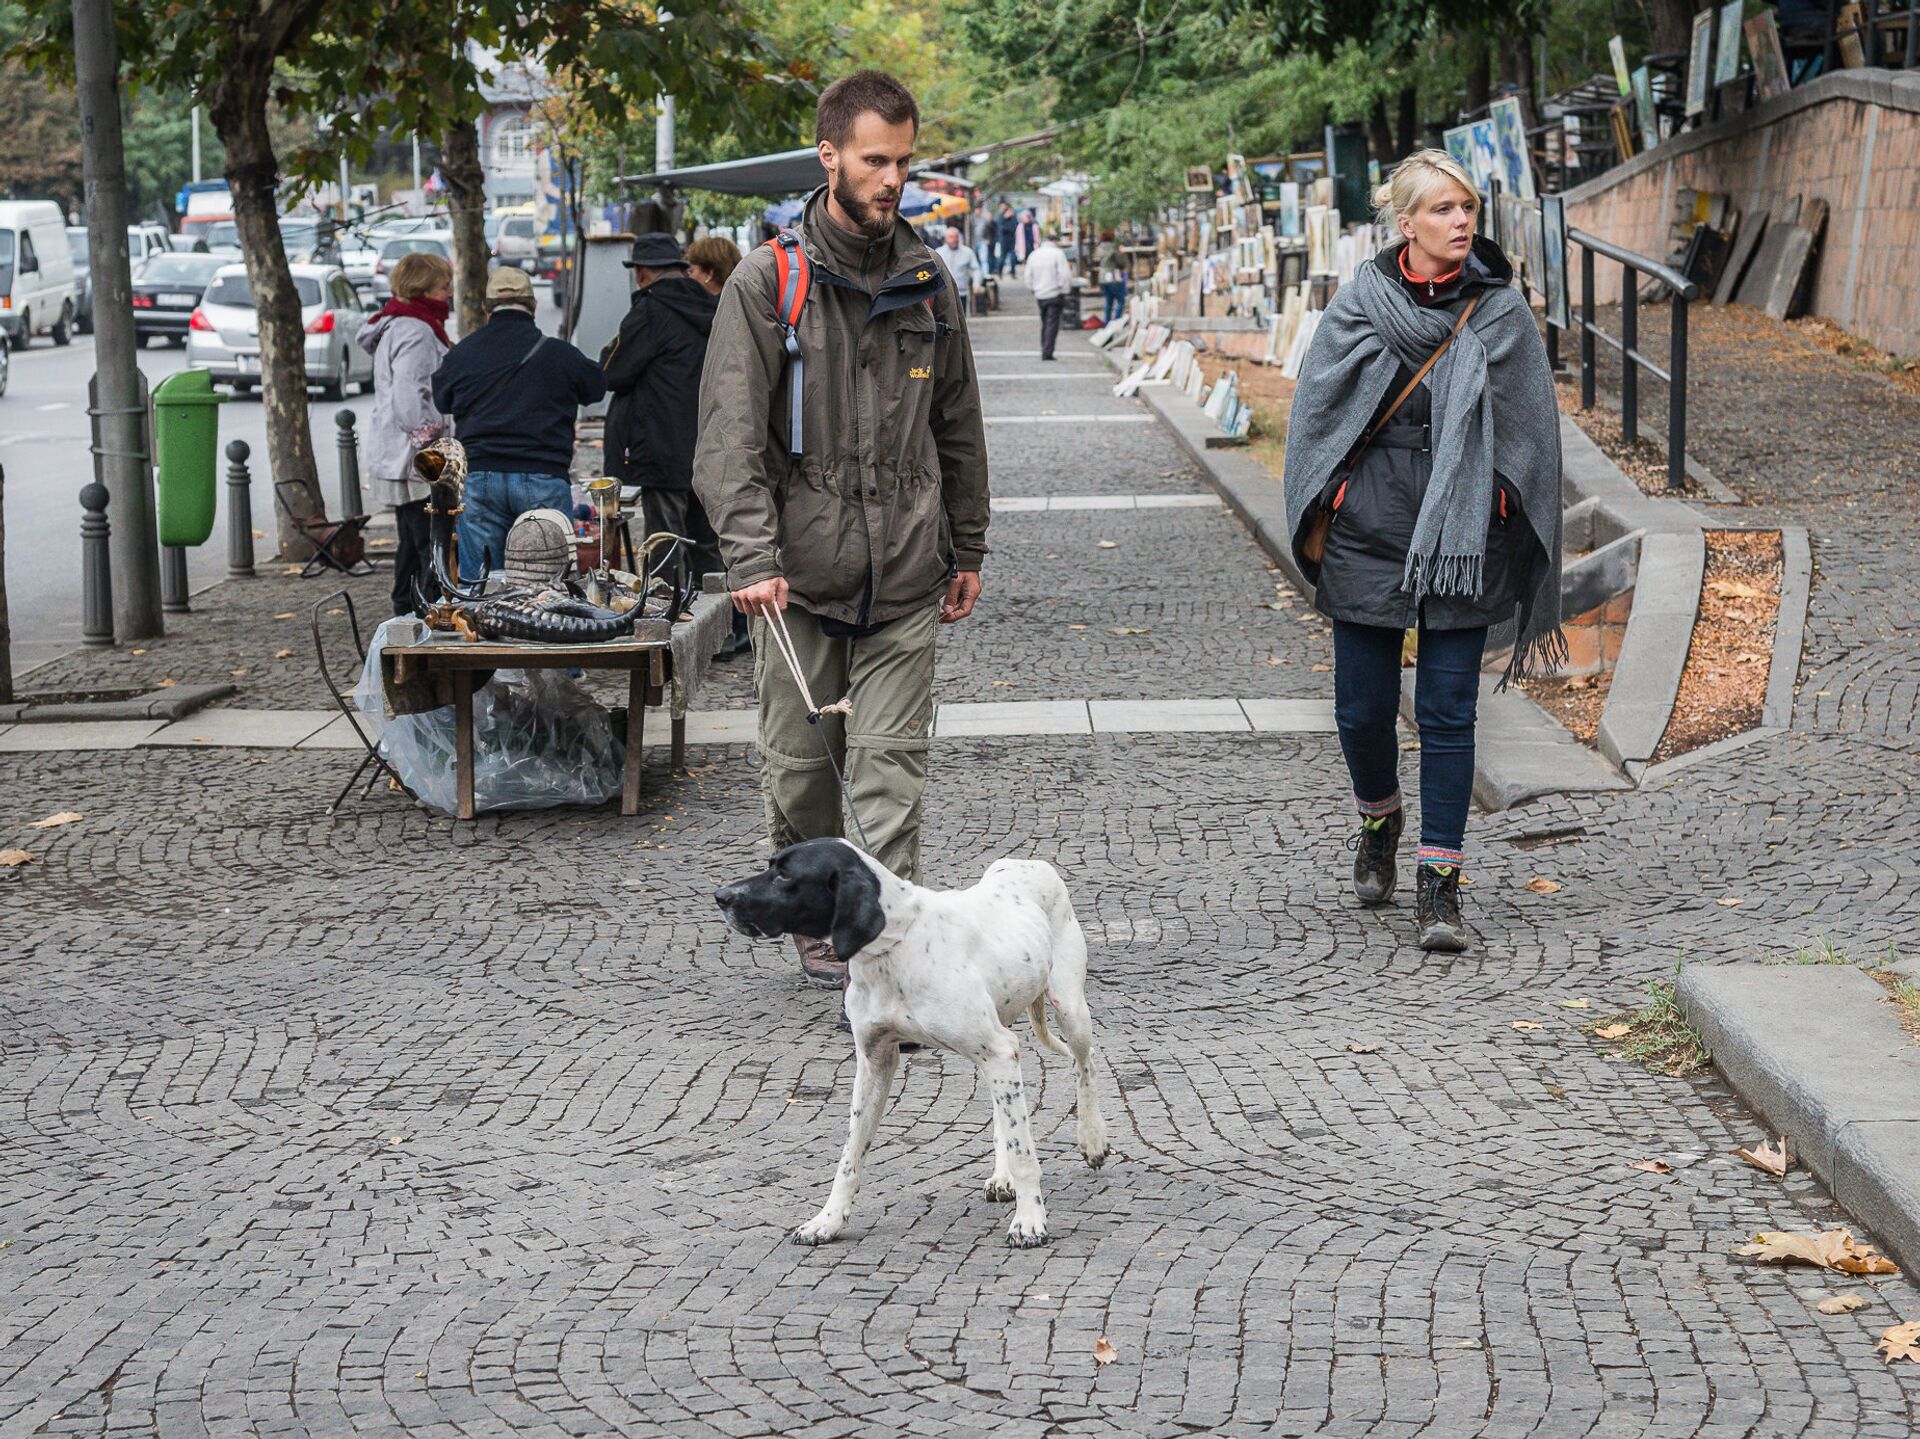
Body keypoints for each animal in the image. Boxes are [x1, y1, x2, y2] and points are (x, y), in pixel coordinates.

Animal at [721, 841, 1113, 1244]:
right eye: (772, 866)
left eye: (785, 875)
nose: (722, 897)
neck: (893, 946)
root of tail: (1029, 862)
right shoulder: (876, 1063)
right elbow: (850, 1158)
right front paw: (827, 1220)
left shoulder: (998, 1051)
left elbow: (1024, 1154)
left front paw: (1030, 1220)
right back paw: (1003, 1175)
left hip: (1067, 1010)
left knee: (1086, 1064)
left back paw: (1092, 1139)